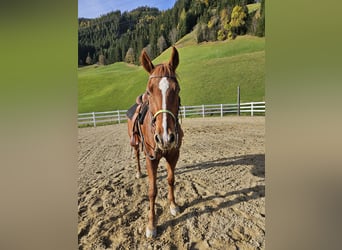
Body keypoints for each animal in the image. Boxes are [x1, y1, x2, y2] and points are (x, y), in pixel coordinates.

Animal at [127, 47, 183, 238]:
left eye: (177, 89)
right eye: (149, 91)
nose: (165, 137)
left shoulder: (173, 154)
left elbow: (171, 179)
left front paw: (173, 205)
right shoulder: (151, 159)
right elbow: (152, 191)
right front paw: (151, 225)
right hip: (136, 144)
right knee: (137, 156)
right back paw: (138, 172)